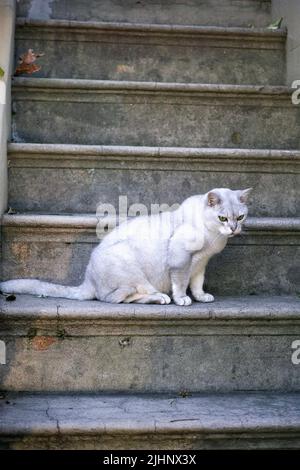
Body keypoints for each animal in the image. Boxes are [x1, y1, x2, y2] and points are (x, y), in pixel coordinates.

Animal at [0, 189, 251, 306]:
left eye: (240, 217)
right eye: (222, 218)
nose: (233, 229)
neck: (214, 238)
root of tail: (88, 280)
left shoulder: (200, 263)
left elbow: (197, 283)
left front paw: (201, 297)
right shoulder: (182, 258)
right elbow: (181, 284)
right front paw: (183, 299)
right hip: (131, 269)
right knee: (116, 298)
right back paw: (161, 298)